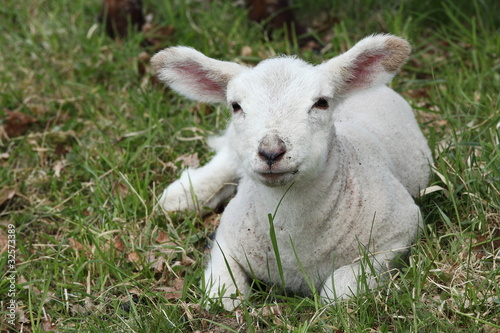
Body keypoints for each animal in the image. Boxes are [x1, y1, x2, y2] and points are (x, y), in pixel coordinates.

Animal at [151, 34, 430, 308]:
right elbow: (223, 295)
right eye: (235, 106)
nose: (271, 152)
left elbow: (337, 292)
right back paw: (184, 195)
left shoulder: (397, 235)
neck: (292, 246)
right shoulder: (226, 237)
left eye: (321, 103)